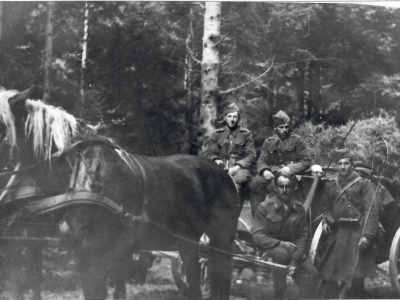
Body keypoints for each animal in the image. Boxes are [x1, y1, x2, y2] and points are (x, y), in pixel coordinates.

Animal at [0, 86, 239, 298]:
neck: (81, 173)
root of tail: (223, 173)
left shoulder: (94, 253)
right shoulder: (86, 253)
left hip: (222, 241)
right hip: (188, 243)